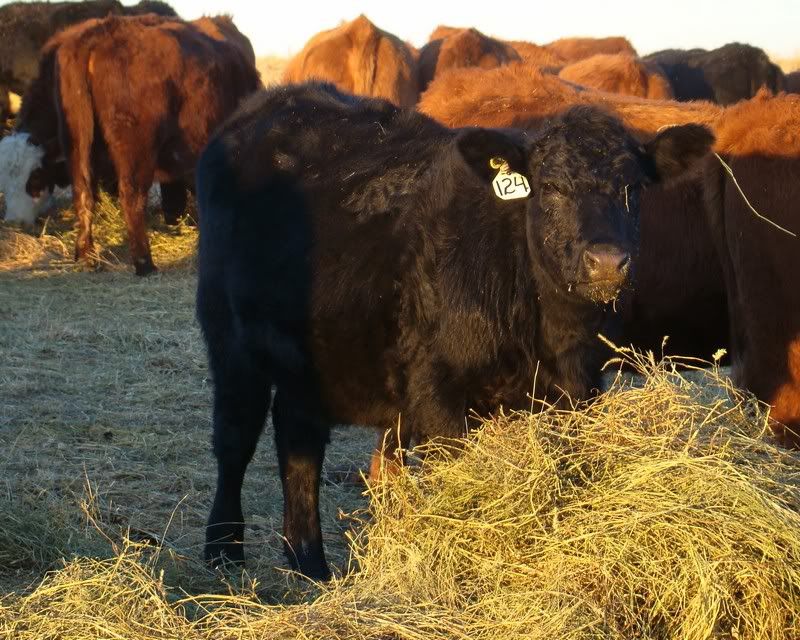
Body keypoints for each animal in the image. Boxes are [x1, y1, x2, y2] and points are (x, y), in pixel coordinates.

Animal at [0, 14, 260, 275]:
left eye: (35, 178)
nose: (14, 222)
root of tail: (91, 40)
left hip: (81, 145)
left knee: (83, 193)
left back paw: (87, 257)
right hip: (136, 152)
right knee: (132, 196)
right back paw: (144, 262)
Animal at [195, 81, 714, 578]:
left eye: (634, 188)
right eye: (551, 186)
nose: (607, 261)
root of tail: (272, 102)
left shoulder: (578, 389)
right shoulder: (439, 394)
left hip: (310, 358)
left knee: (298, 438)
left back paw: (310, 565)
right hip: (228, 339)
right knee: (235, 438)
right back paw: (223, 550)